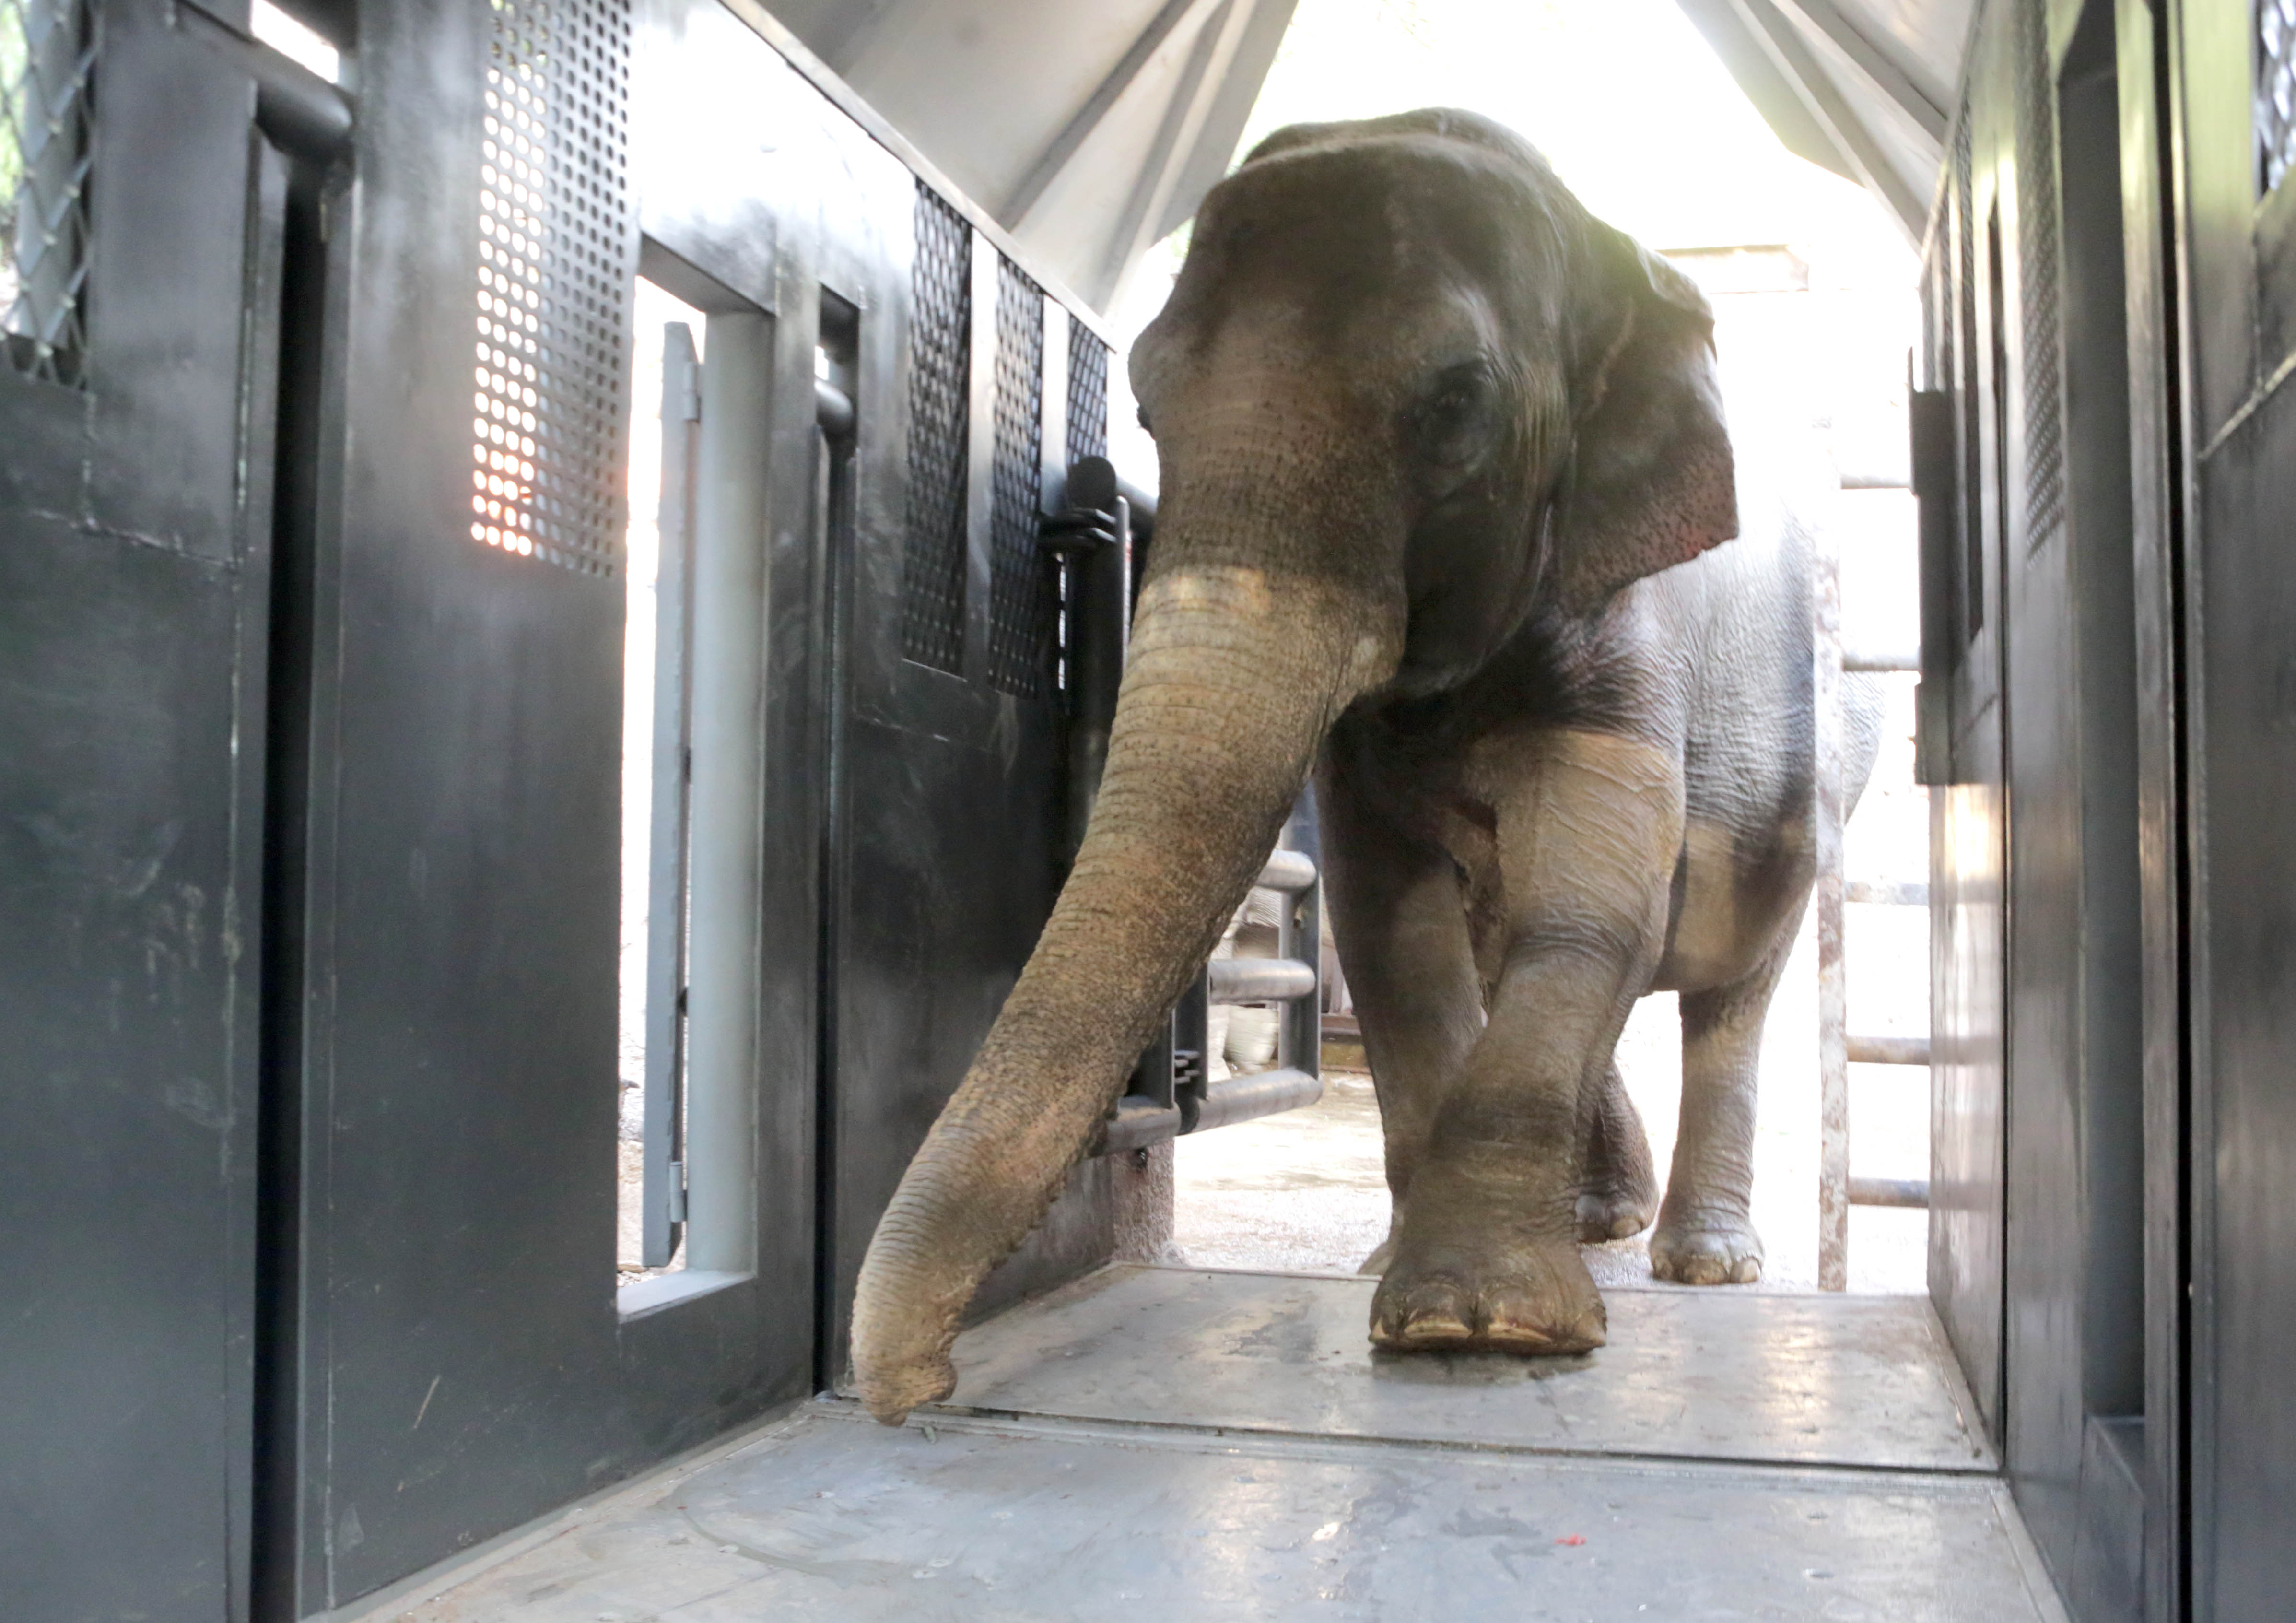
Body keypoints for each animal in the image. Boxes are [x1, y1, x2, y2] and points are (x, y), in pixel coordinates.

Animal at [854, 107, 1874, 1423]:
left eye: (1457, 402)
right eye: (1146, 405)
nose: (912, 1388)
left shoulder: (1628, 640)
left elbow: (1589, 902)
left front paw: (1480, 1322)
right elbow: (1389, 921)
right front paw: (1413, 1281)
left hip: (1813, 784)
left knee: (1728, 986)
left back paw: (1704, 1263)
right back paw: (1600, 1222)